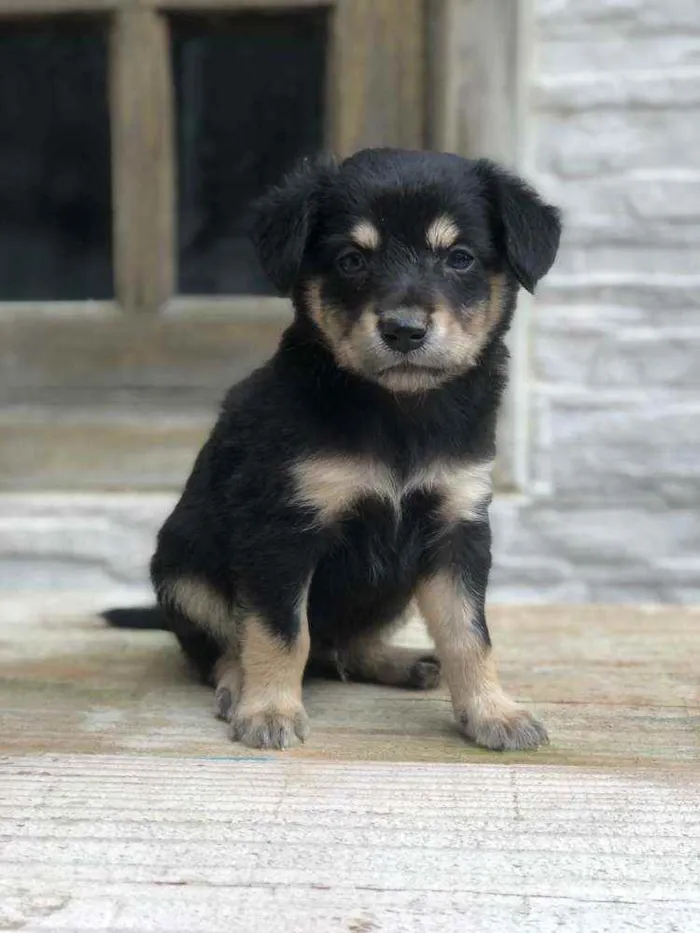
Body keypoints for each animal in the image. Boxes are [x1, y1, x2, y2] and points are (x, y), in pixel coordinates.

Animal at [139, 149, 560, 752]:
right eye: (351, 259)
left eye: (459, 258)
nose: (403, 330)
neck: (398, 411)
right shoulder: (283, 531)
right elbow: (280, 630)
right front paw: (269, 710)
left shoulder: (457, 527)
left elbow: (469, 633)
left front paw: (494, 713)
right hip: (181, 575)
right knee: (228, 646)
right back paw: (238, 684)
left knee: (347, 645)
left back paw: (401, 663)